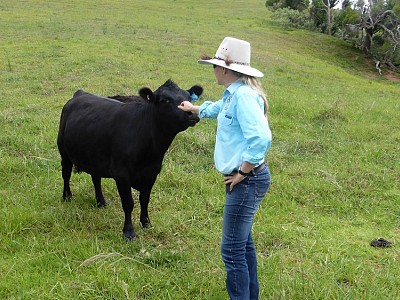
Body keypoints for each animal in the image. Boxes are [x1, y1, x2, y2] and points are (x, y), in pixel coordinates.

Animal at [56, 80, 203, 241]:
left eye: (189, 97)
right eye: (165, 100)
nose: (192, 113)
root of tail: (80, 93)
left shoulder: (152, 173)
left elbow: (144, 199)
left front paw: (146, 223)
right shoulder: (122, 174)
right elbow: (128, 203)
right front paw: (129, 232)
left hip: (95, 156)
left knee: (96, 178)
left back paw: (101, 202)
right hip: (64, 151)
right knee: (66, 174)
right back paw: (67, 197)